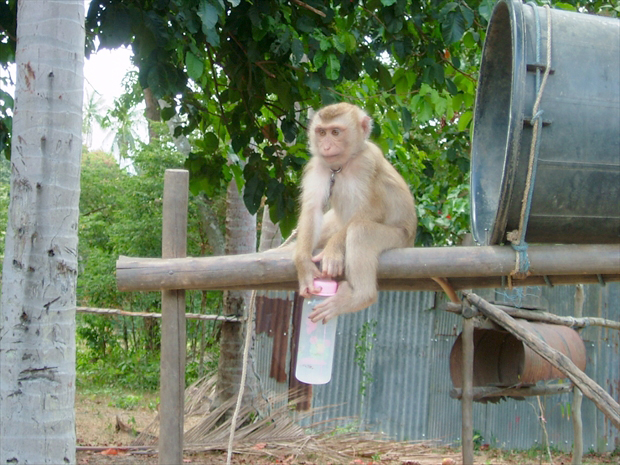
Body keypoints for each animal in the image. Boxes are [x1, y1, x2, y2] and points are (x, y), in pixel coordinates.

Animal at [294, 102, 418, 322]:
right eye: (322, 132)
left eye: (335, 132)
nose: (326, 147)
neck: (342, 166)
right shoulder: (318, 165)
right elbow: (312, 210)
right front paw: (303, 265)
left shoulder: (368, 163)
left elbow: (373, 211)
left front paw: (333, 249)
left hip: (400, 238)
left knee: (360, 231)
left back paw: (359, 297)